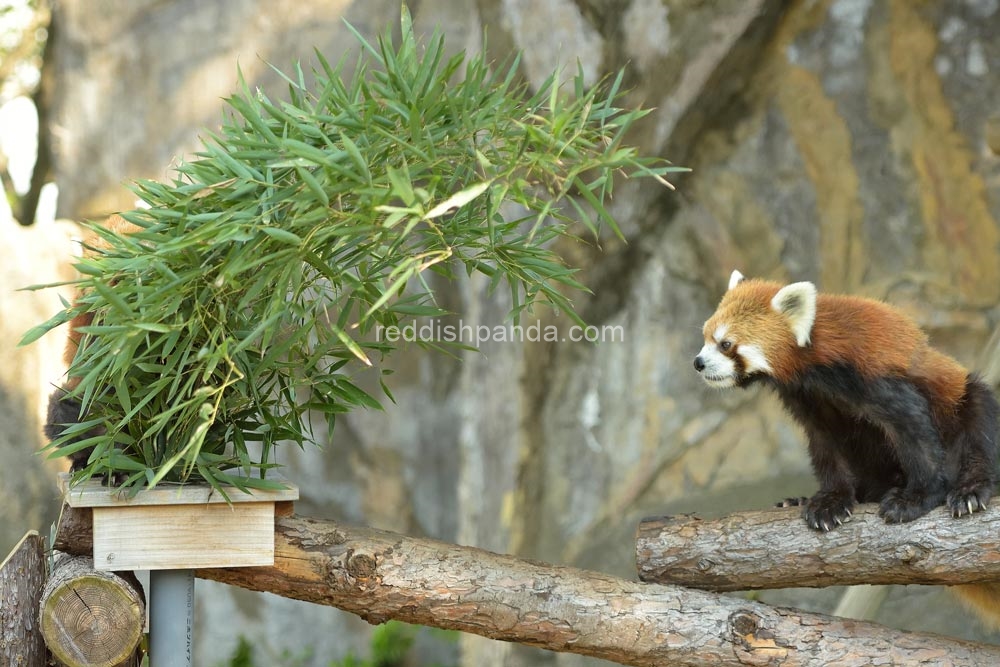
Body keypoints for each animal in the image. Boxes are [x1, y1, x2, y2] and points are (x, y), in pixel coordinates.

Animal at [696, 270, 1000, 620]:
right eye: (706, 337)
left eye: (726, 344)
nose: (698, 362)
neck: (814, 365)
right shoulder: (810, 400)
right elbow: (827, 449)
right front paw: (829, 502)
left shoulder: (871, 375)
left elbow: (914, 431)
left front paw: (916, 498)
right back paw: (798, 500)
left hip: (963, 402)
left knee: (978, 414)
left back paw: (970, 490)